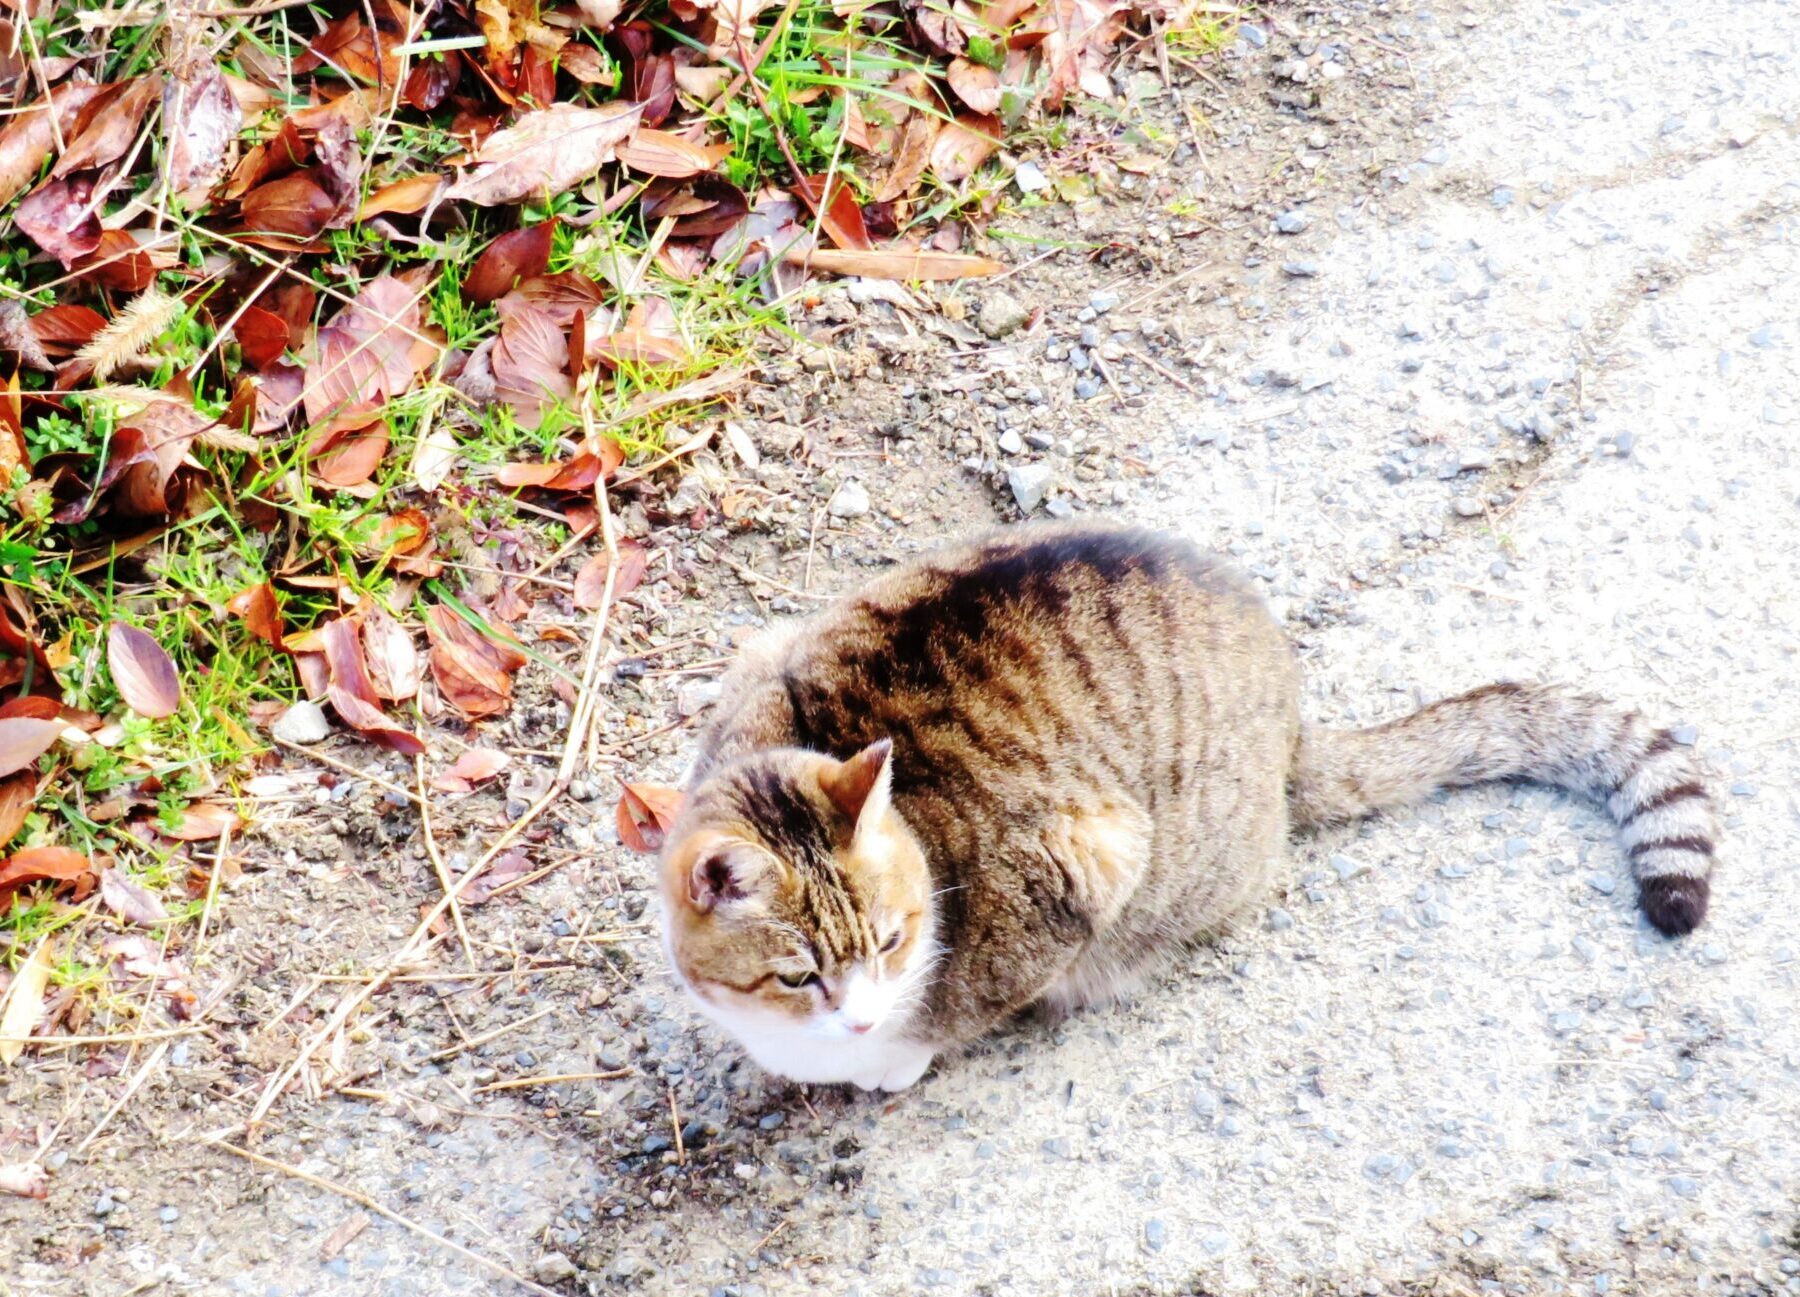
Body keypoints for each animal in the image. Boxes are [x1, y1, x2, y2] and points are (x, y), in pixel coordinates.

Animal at [651, 521, 1713, 1086]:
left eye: (890, 941)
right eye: (797, 977)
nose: (861, 1021)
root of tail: (1292, 718)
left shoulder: (1083, 859)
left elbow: (962, 1011)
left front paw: (894, 1058)